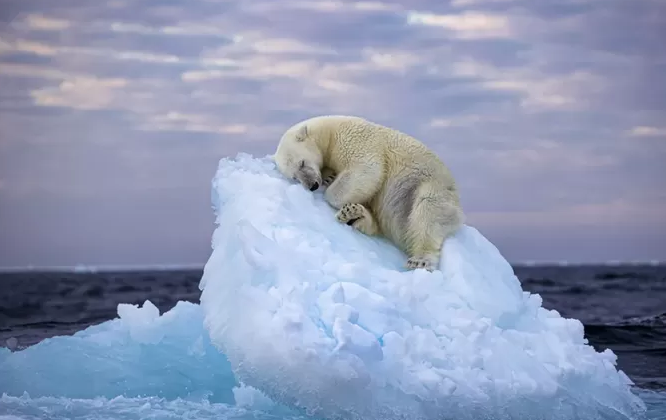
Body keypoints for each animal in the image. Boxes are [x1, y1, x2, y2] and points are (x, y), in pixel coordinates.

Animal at [270, 115, 462, 272]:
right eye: (294, 177)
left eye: (302, 163)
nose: (312, 185)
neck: (329, 132)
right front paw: (329, 177)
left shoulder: (353, 139)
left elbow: (367, 170)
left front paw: (330, 187)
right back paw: (354, 215)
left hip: (430, 185)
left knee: (427, 211)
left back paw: (420, 260)